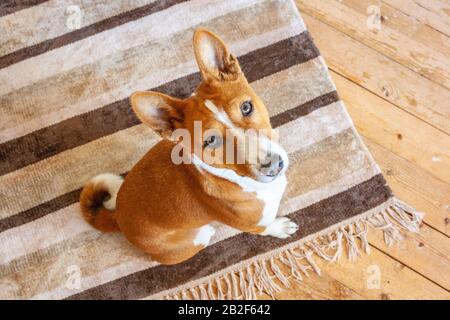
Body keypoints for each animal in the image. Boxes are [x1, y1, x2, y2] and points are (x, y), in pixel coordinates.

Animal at [80, 28, 298, 264]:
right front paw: (279, 227)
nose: (274, 165)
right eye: (210, 141)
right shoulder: (252, 225)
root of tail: (118, 217)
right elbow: (266, 228)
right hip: (196, 237)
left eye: (246, 107)